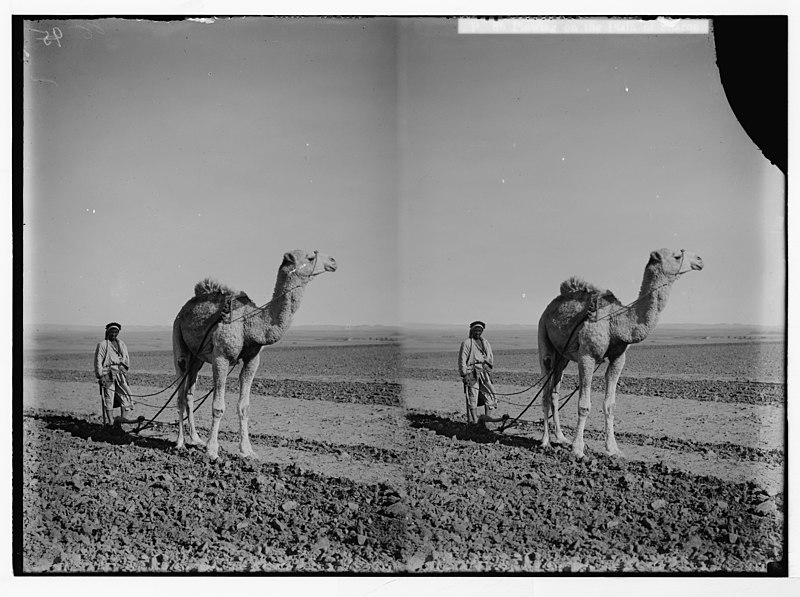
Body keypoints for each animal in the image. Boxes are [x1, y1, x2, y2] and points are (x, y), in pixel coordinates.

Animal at [172, 249, 338, 458]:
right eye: (310, 257)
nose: (333, 261)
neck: (250, 324)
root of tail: (184, 308)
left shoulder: (252, 359)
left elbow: (244, 406)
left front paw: (248, 450)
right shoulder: (221, 357)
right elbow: (218, 406)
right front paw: (212, 451)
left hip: (197, 358)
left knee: (189, 393)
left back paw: (195, 439)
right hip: (178, 338)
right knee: (179, 392)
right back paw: (180, 443)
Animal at [536, 247, 700, 456]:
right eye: (677, 256)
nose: (700, 260)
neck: (616, 322)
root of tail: (549, 307)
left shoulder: (618, 358)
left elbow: (610, 405)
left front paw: (613, 449)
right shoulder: (587, 355)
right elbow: (584, 405)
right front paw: (578, 449)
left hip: (562, 357)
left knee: (555, 392)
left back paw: (561, 437)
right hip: (544, 337)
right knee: (545, 391)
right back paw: (546, 441)